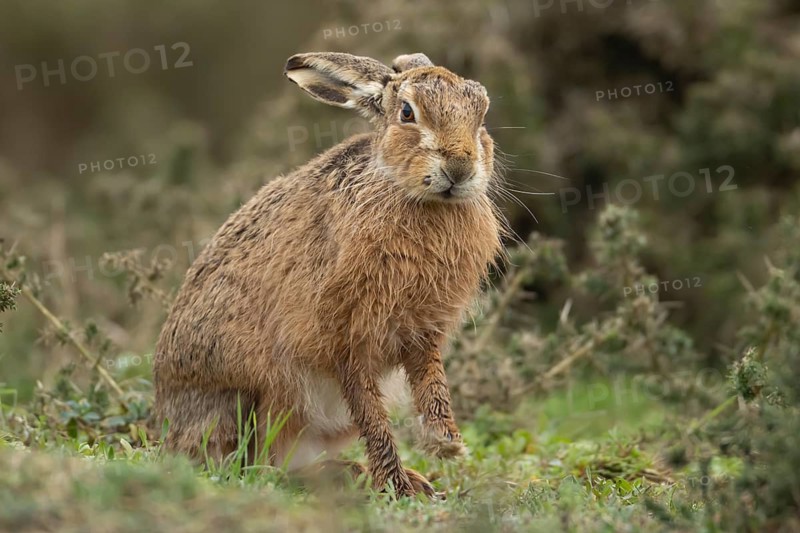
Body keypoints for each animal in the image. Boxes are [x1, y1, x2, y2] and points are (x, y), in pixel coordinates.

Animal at [153, 51, 505, 498]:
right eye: (407, 113)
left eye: (482, 115)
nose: (460, 167)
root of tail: (169, 427)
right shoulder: (347, 337)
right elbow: (369, 411)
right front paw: (396, 486)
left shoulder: (422, 335)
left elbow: (433, 385)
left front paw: (446, 445)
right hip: (246, 397)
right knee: (256, 465)